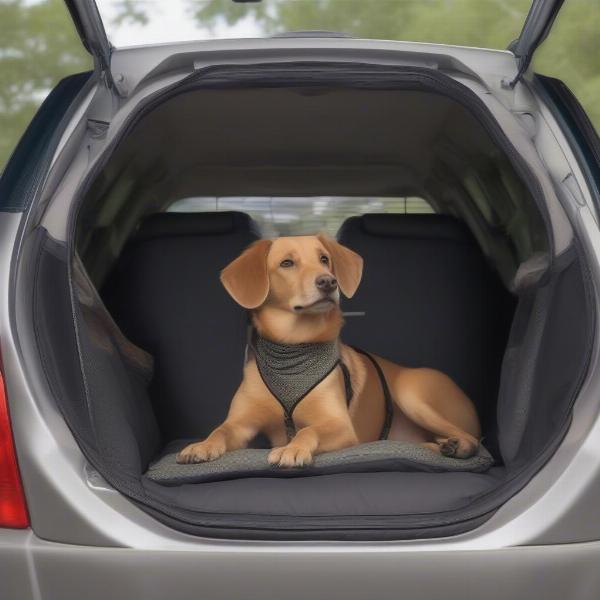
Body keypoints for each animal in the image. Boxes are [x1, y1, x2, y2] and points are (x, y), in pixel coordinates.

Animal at [176, 234, 480, 468]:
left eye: (324, 259)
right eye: (287, 263)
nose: (328, 281)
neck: (293, 349)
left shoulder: (340, 426)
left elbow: (309, 429)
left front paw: (293, 448)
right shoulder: (242, 422)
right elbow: (221, 430)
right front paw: (202, 445)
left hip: (411, 393)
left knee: (474, 439)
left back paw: (456, 446)